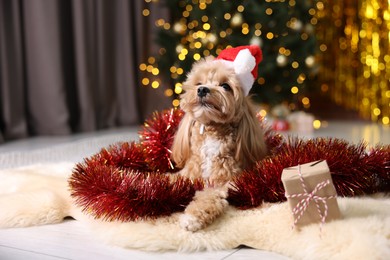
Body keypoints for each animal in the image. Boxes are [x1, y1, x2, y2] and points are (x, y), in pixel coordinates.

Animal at [171, 45, 268, 232]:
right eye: (198, 83)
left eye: (225, 86)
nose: (202, 89)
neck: (212, 130)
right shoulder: (188, 173)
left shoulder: (223, 182)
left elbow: (208, 197)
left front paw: (192, 218)